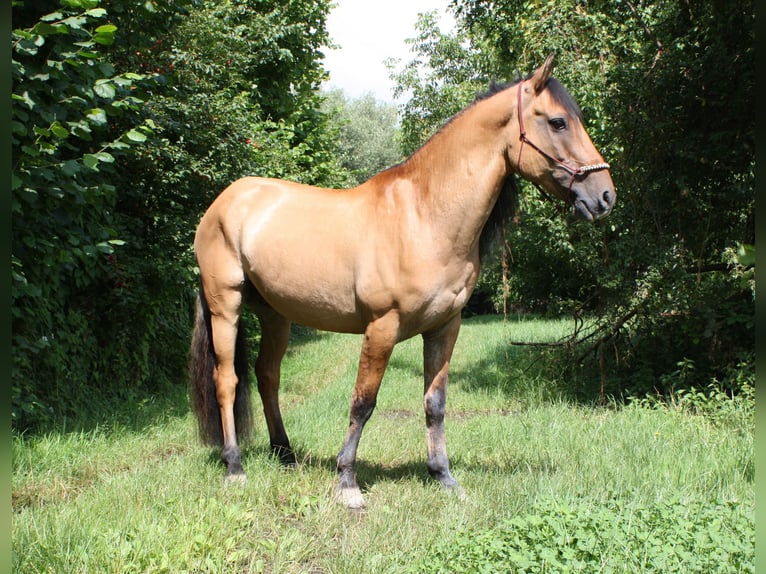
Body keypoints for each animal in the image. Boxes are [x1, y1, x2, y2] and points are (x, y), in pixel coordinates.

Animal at [189, 56, 616, 510]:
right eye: (558, 122)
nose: (605, 196)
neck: (425, 215)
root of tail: (224, 201)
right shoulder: (382, 327)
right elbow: (363, 402)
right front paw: (348, 483)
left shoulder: (445, 327)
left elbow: (435, 403)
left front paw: (444, 477)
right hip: (226, 306)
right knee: (227, 380)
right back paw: (235, 467)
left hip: (276, 315)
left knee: (267, 376)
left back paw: (285, 454)